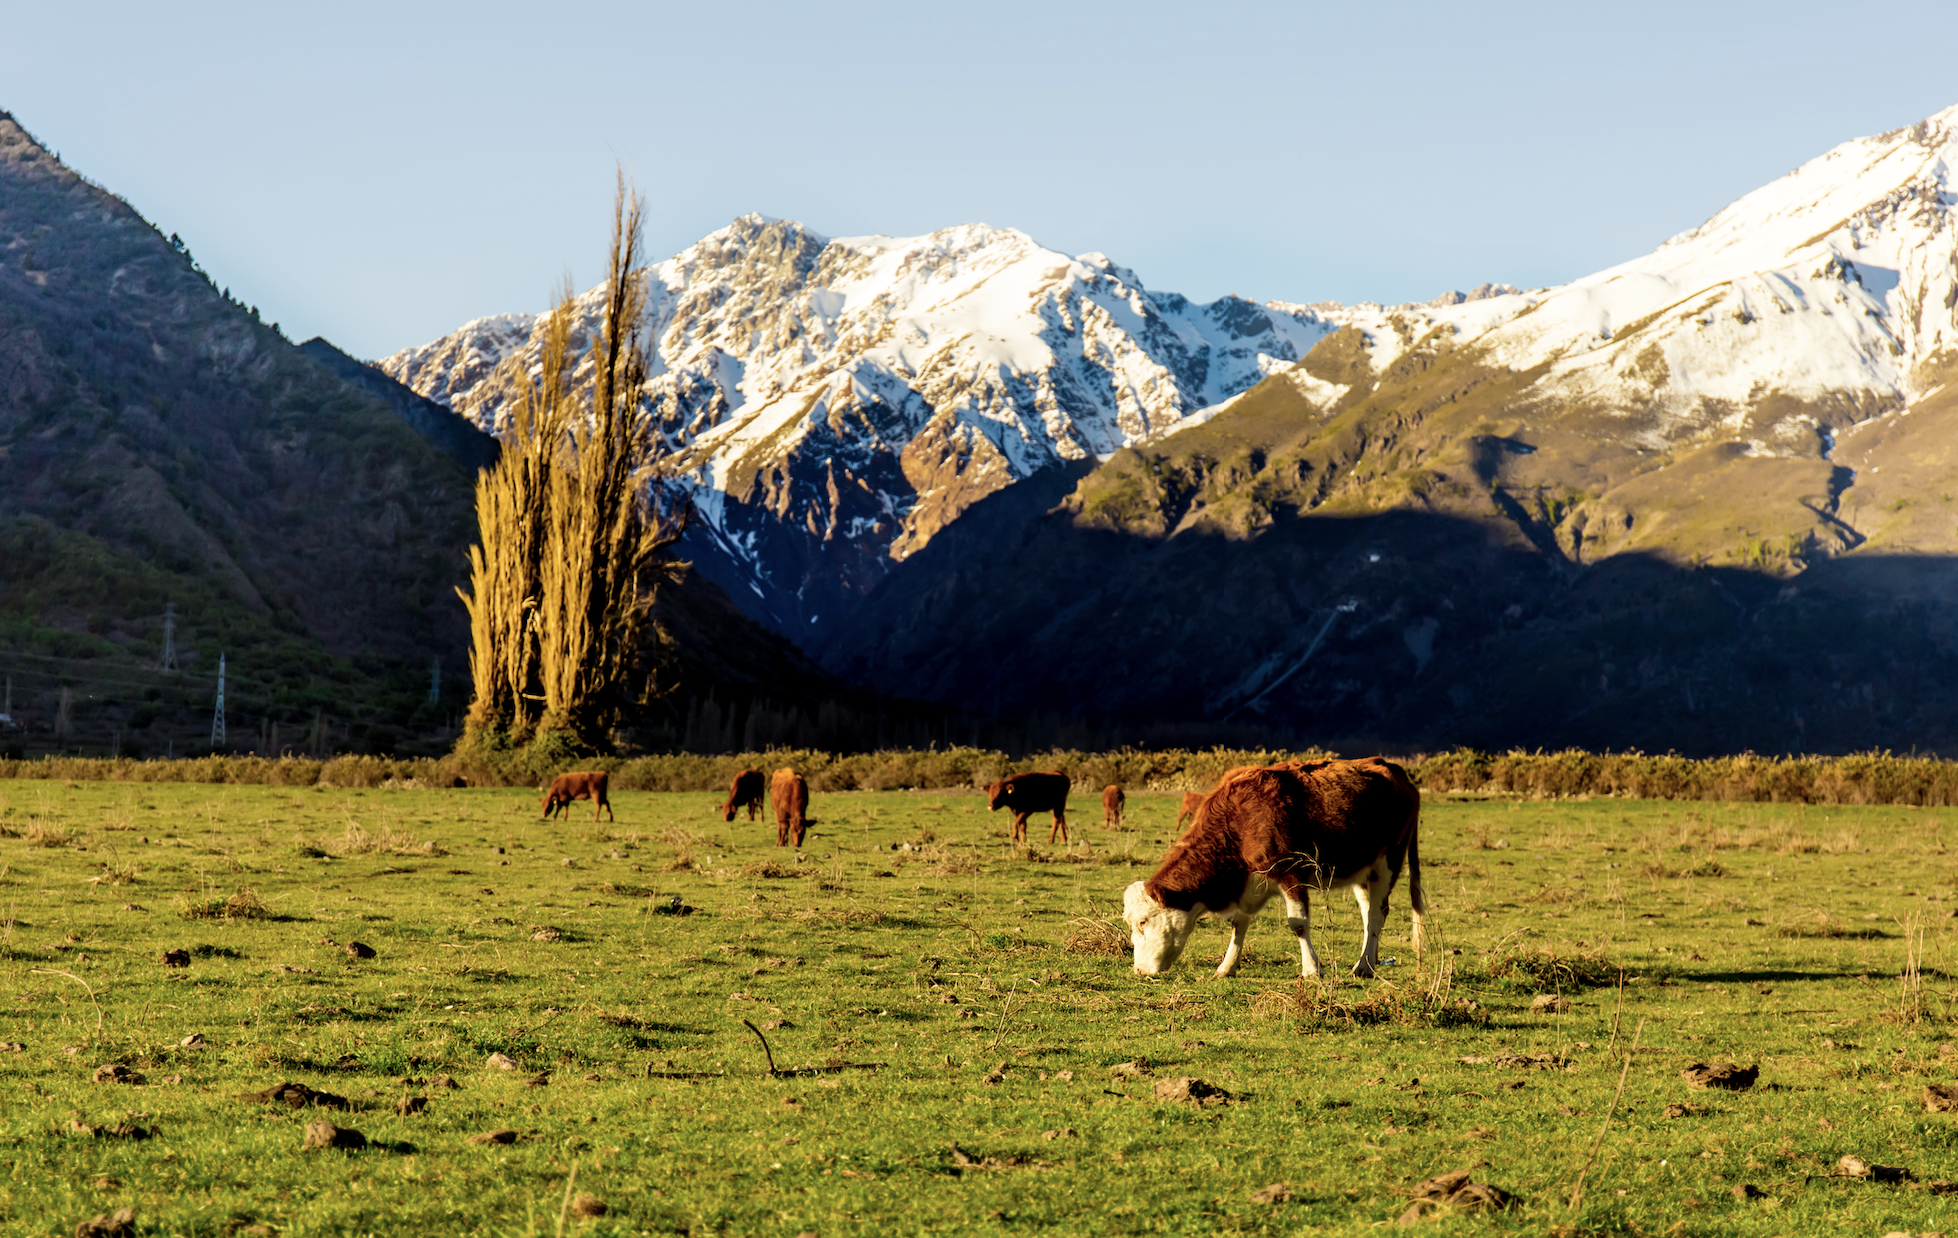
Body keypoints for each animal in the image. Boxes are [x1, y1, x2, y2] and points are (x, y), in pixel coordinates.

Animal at [1127, 760, 1433, 983]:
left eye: (1142, 921)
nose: (1139, 970)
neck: (1239, 823)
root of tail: (1393, 769)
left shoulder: (1291, 873)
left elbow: (1297, 923)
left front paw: (1312, 969)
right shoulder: (1250, 883)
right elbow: (1239, 924)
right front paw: (1227, 966)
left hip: (1389, 860)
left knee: (1378, 912)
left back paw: (1364, 966)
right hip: (1363, 869)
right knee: (1369, 913)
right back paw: (1370, 959)